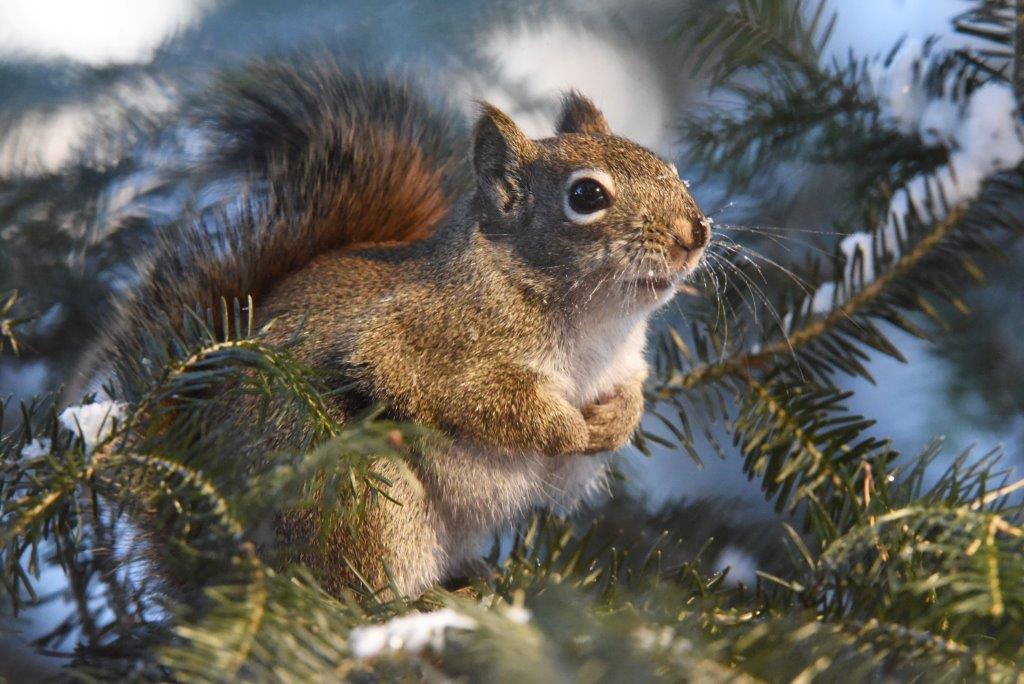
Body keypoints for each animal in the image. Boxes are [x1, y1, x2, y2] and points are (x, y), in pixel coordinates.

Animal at [77, 57, 710, 598]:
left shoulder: (624, 362)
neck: (595, 322)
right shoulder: (426, 337)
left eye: (671, 169)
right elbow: (473, 398)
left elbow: (630, 392)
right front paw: (567, 431)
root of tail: (213, 562)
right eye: (586, 194)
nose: (696, 231)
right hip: (364, 496)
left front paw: (615, 421)